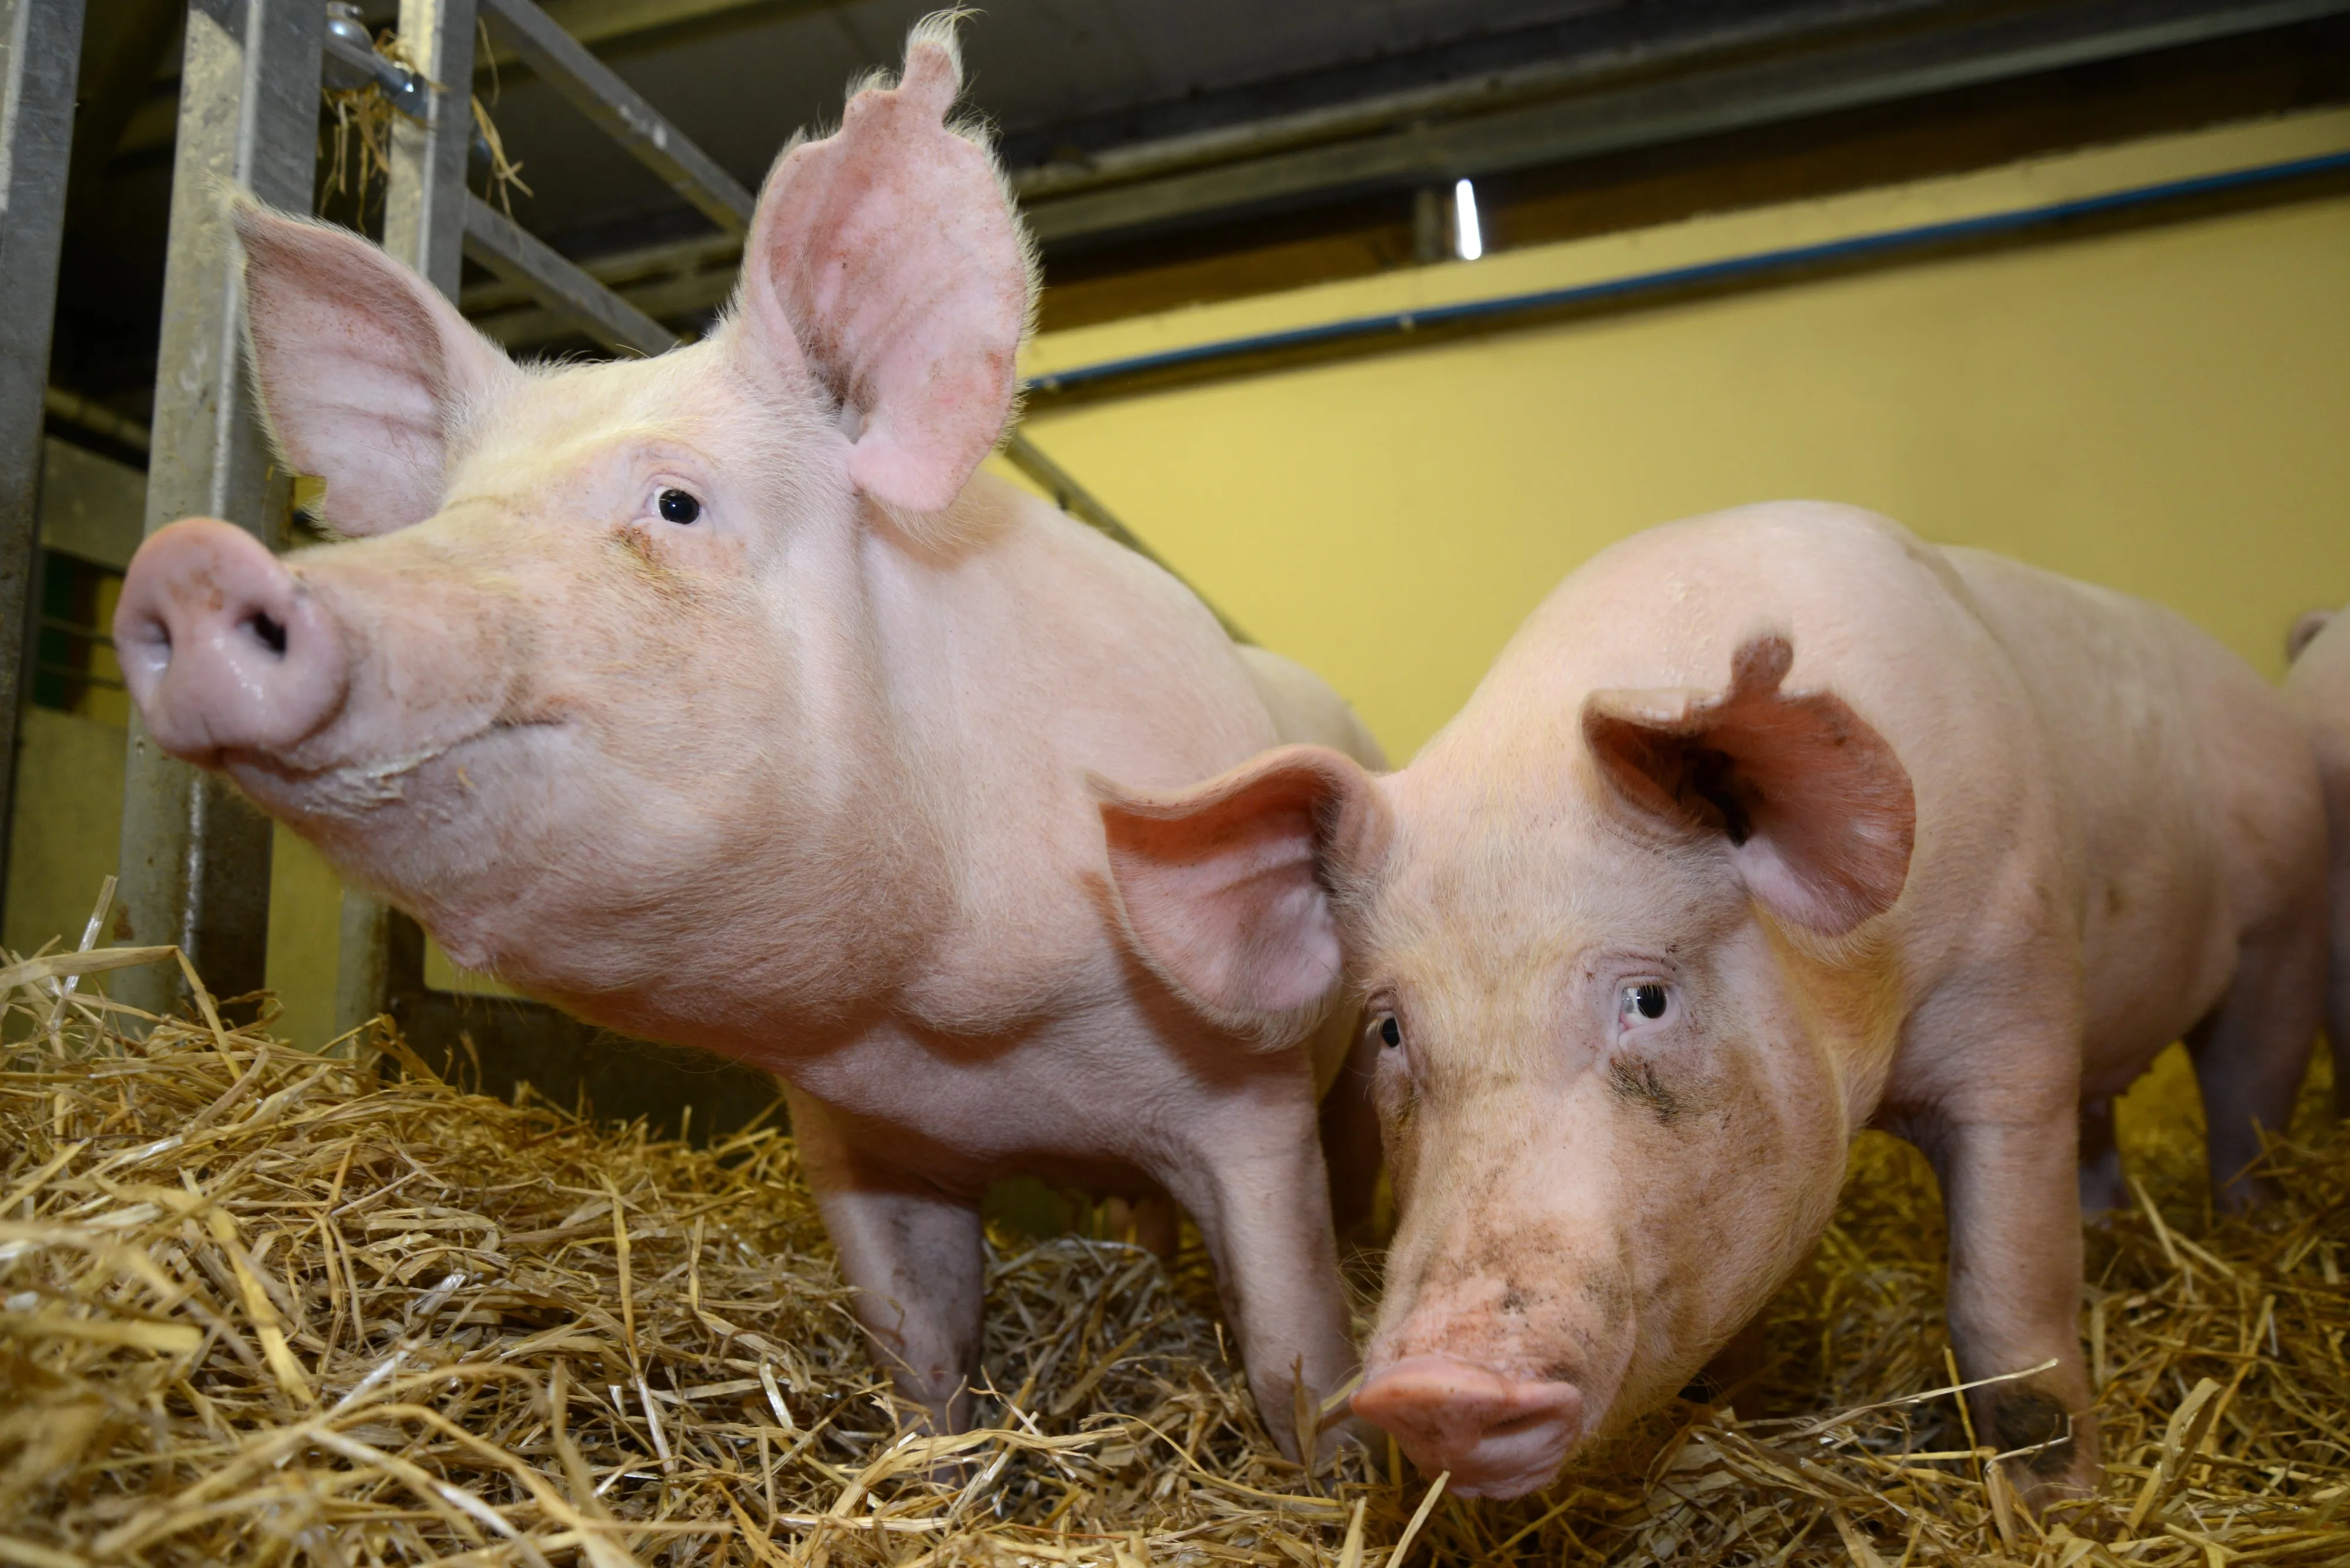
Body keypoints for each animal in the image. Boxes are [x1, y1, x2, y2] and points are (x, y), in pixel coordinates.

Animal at [110, 17, 1384, 1458]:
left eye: (676, 503)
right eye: (449, 508)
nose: (191, 561)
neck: (963, 1031)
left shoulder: (1251, 1093)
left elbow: (1289, 1342)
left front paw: (1333, 1469)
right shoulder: (848, 1129)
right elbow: (918, 1341)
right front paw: (937, 1462)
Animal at [1094, 503, 2324, 1503]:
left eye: (1647, 997)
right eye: (1392, 1027)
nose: (1436, 1384)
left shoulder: (2014, 995)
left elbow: (2004, 1305)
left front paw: (2056, 1505)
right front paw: (1738, 1401)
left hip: (2287, 932)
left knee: (2246, 1096)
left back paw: (2253, 1223)